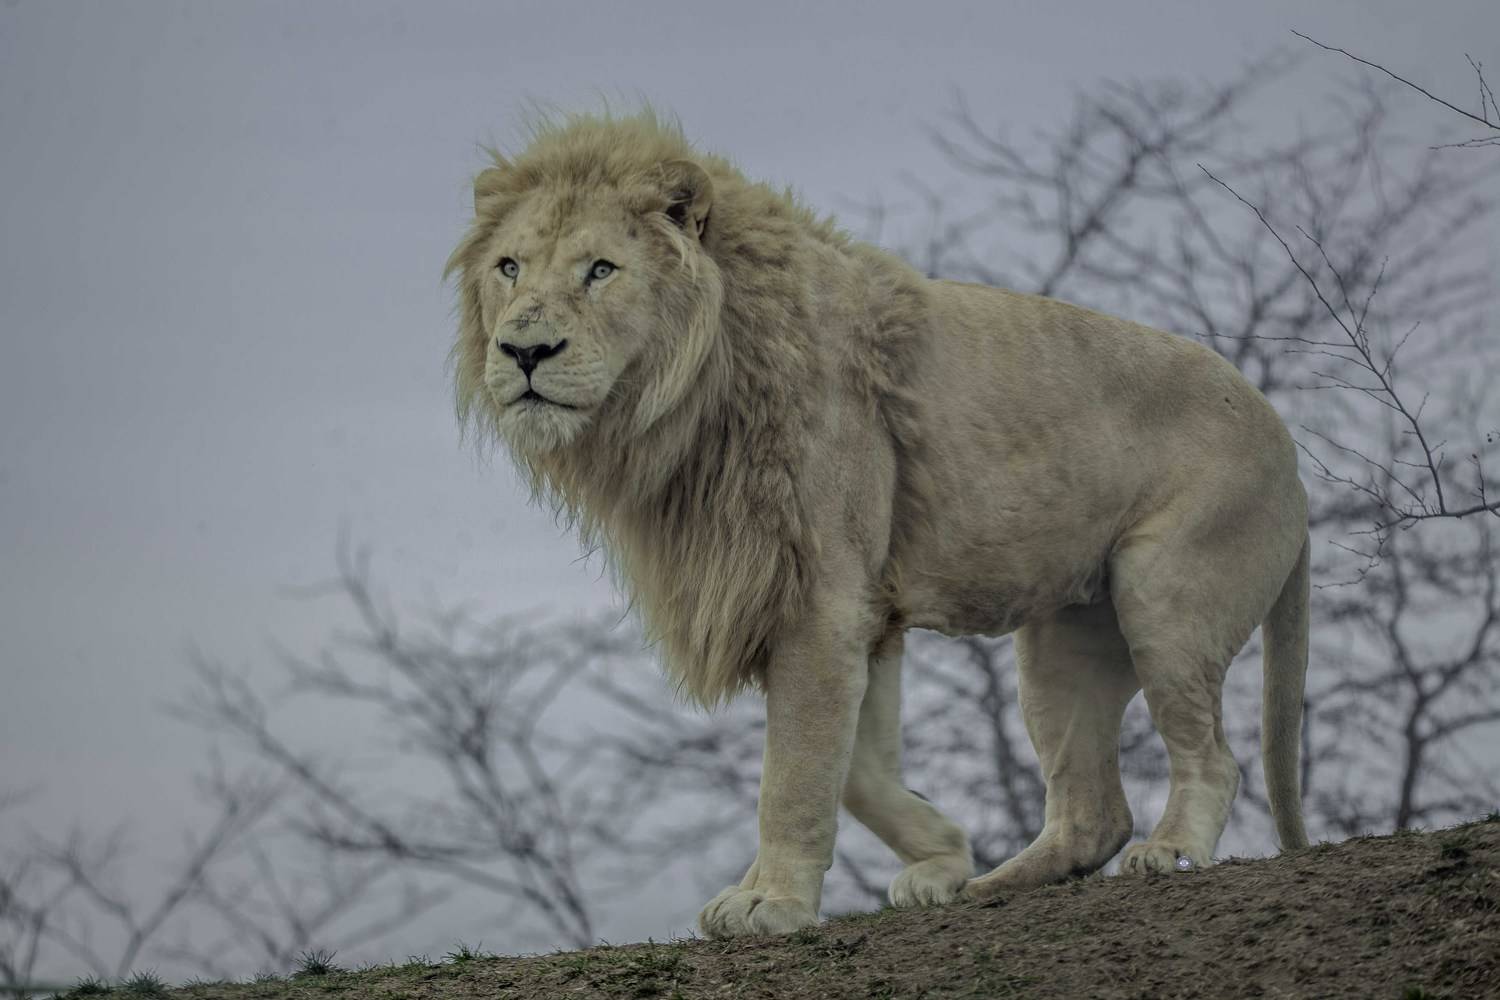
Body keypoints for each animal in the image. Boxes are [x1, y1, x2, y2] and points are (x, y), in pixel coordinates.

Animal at [445, 110, 1311, 939]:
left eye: (601, 270)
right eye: (510, 267)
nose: (524, 351)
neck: (687, 395)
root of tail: (1288, 446)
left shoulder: (822, 595)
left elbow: (795, 770)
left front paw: (771, 902)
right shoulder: (865, 610)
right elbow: (854, 768)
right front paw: (944, 857)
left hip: (1165, 597)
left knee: (1212, 757)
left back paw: (1171, 852)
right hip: (1063, 644)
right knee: (1093, 809)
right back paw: (995, 885)